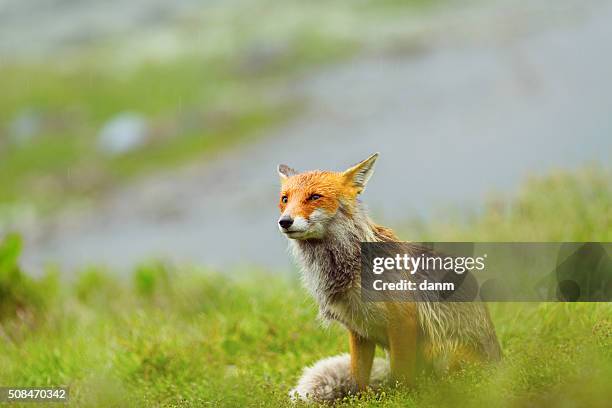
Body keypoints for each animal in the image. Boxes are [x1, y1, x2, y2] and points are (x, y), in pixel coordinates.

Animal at [278, 152, 502, 402]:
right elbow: (358, 378)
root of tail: (501, 363)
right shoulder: (358, 330)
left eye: (315, 197)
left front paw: (402, 398)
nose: (285, 221)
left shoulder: (403, 321)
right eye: (285, 199)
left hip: (440, 354)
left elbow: (400, 375)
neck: (353, 269)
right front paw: (364, 402)